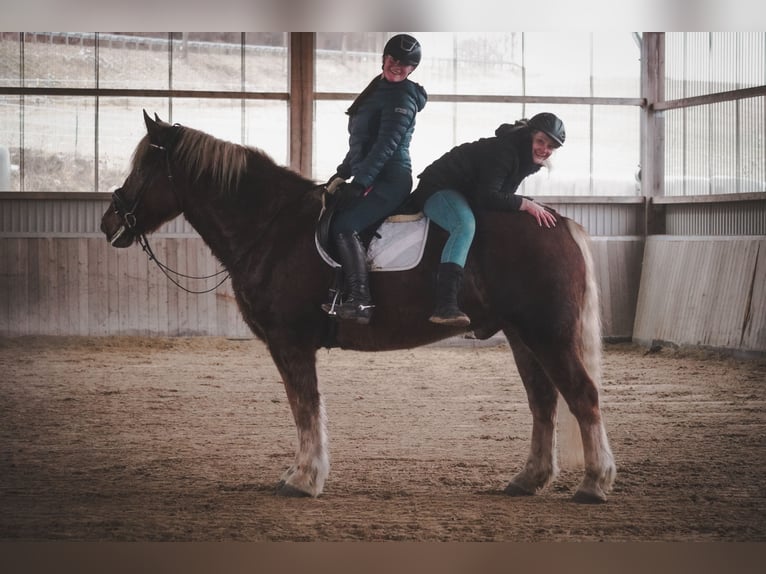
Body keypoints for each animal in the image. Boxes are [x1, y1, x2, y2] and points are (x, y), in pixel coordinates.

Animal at [102, 111, 616, 504]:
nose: (110, 221)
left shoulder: (291, 341)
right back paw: (529, 479)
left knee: (582, 397)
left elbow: (305, 406)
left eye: (144, 166)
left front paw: (304, 479)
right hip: (522, 335)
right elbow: (303, 407)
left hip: (548, 334)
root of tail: (556, 221)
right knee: (544, 401)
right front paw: (299, 473)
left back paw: (594, 484)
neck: (273, 226)